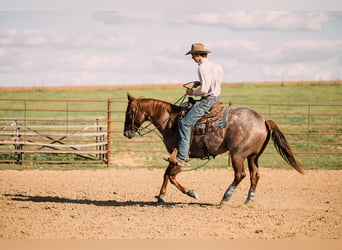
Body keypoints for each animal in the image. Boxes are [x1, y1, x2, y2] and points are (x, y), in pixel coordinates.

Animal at [123, 93, 304, 204]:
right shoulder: (177, 156)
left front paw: (191, 192)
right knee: (255, 175)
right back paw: (248, 201)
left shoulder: (181, 155)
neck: (170, 121)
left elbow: (171, 175)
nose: (126, 133)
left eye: (130, 112)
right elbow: (166, 174)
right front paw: (161, 196)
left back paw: (225, 198)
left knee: (241, 175)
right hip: (253, 156)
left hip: (238, 155)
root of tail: (263, 120)